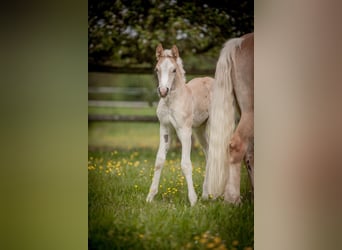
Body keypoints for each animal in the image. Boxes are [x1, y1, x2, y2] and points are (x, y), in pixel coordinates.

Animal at [145, 44, 214, 206]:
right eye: (156, 69)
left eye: (174, 70)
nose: (163, 91)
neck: (171, 101)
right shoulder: (165, 128)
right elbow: (159, 161)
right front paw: (150, 197)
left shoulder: (185, 131)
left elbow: (186, 164)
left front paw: (193, 200)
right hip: (200, 130)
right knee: (209, 153)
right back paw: (206, 194)